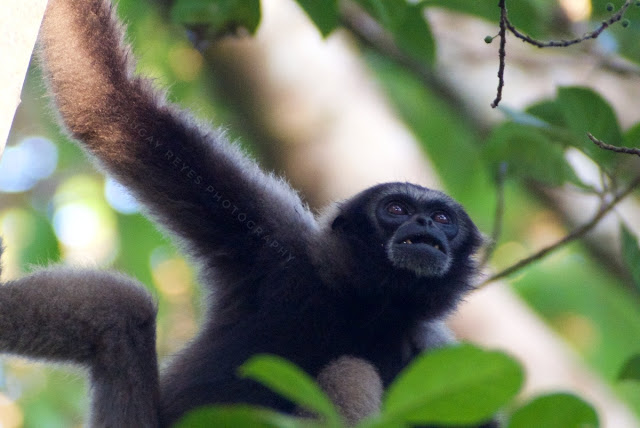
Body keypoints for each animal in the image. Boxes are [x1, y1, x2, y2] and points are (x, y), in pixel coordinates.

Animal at [0, 0, 494, 426]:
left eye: (444, 220)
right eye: (396, 208)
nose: (423, 223)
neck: (365, 303)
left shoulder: (432, 348)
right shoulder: (271, 241)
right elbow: (106, 106)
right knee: (124, 309)